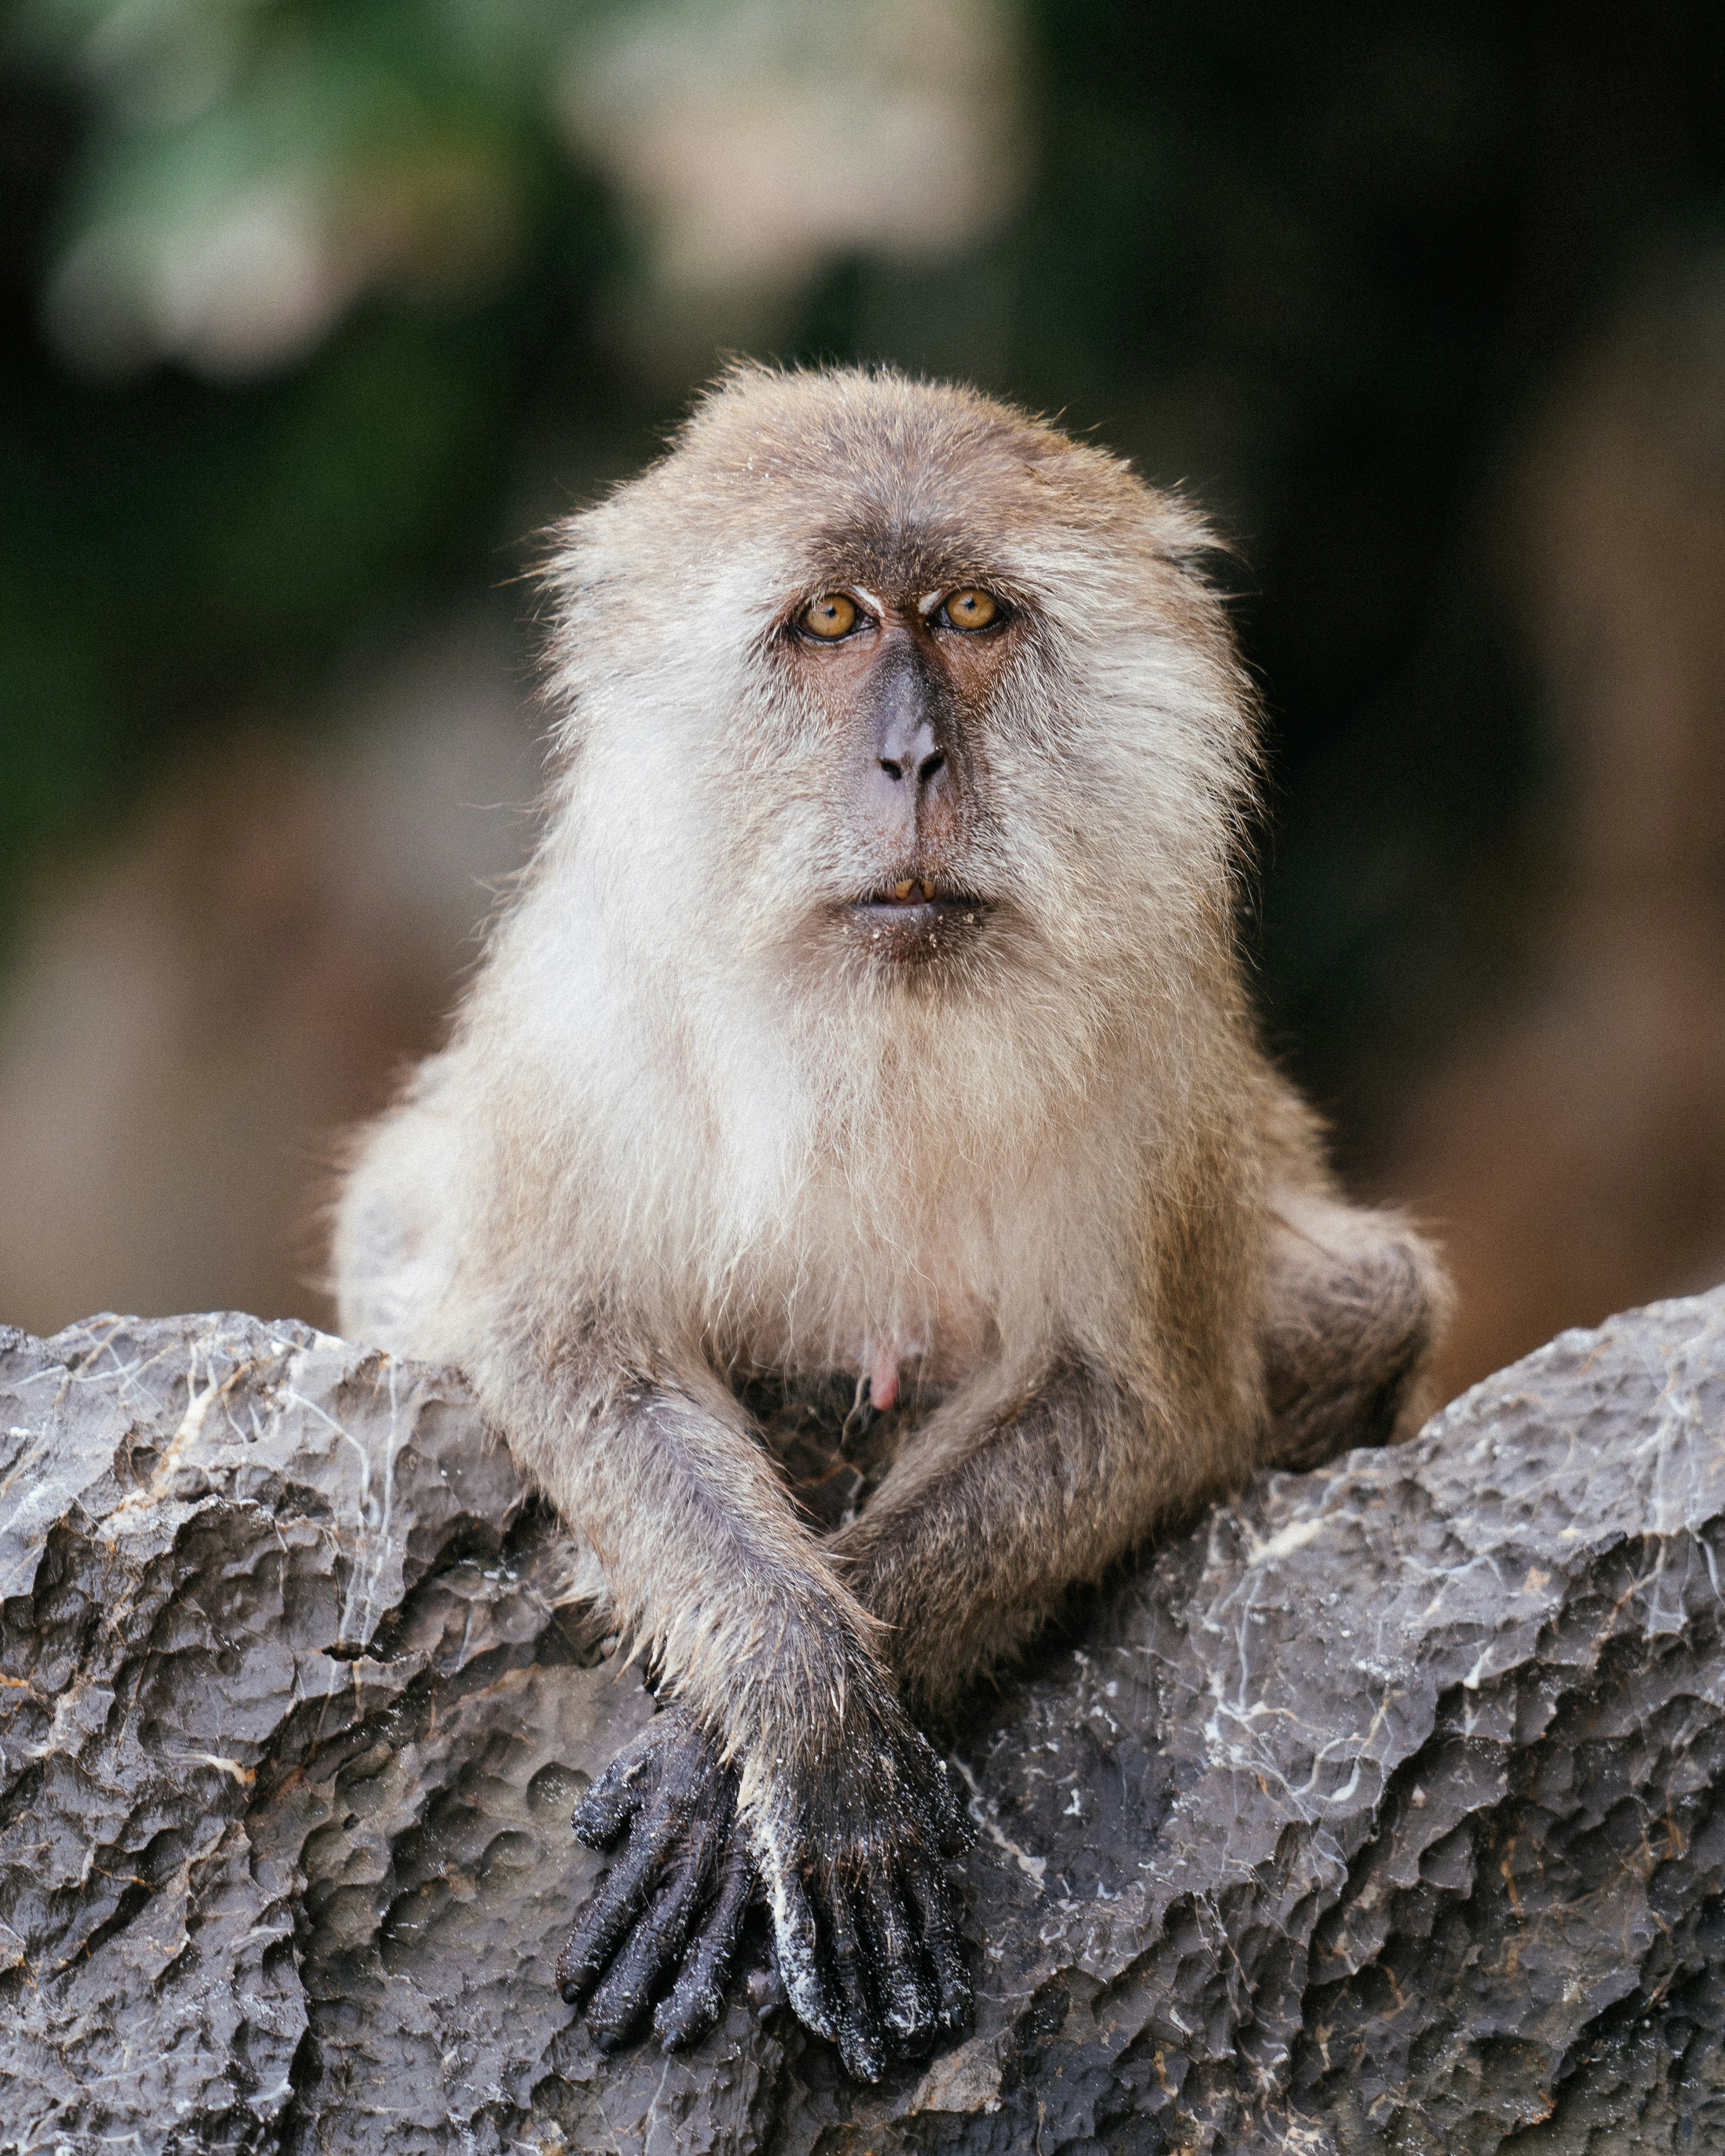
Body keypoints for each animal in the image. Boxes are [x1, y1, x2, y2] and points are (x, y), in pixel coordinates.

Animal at [330, 362, 1449, 2078]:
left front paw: (730, 1775)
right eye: (835, 620)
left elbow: (1134, 1400)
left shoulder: (1155, 1047)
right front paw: (798, 1706)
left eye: (972, 612)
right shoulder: (588, 1008)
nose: (913, 762)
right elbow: (567, 1342)